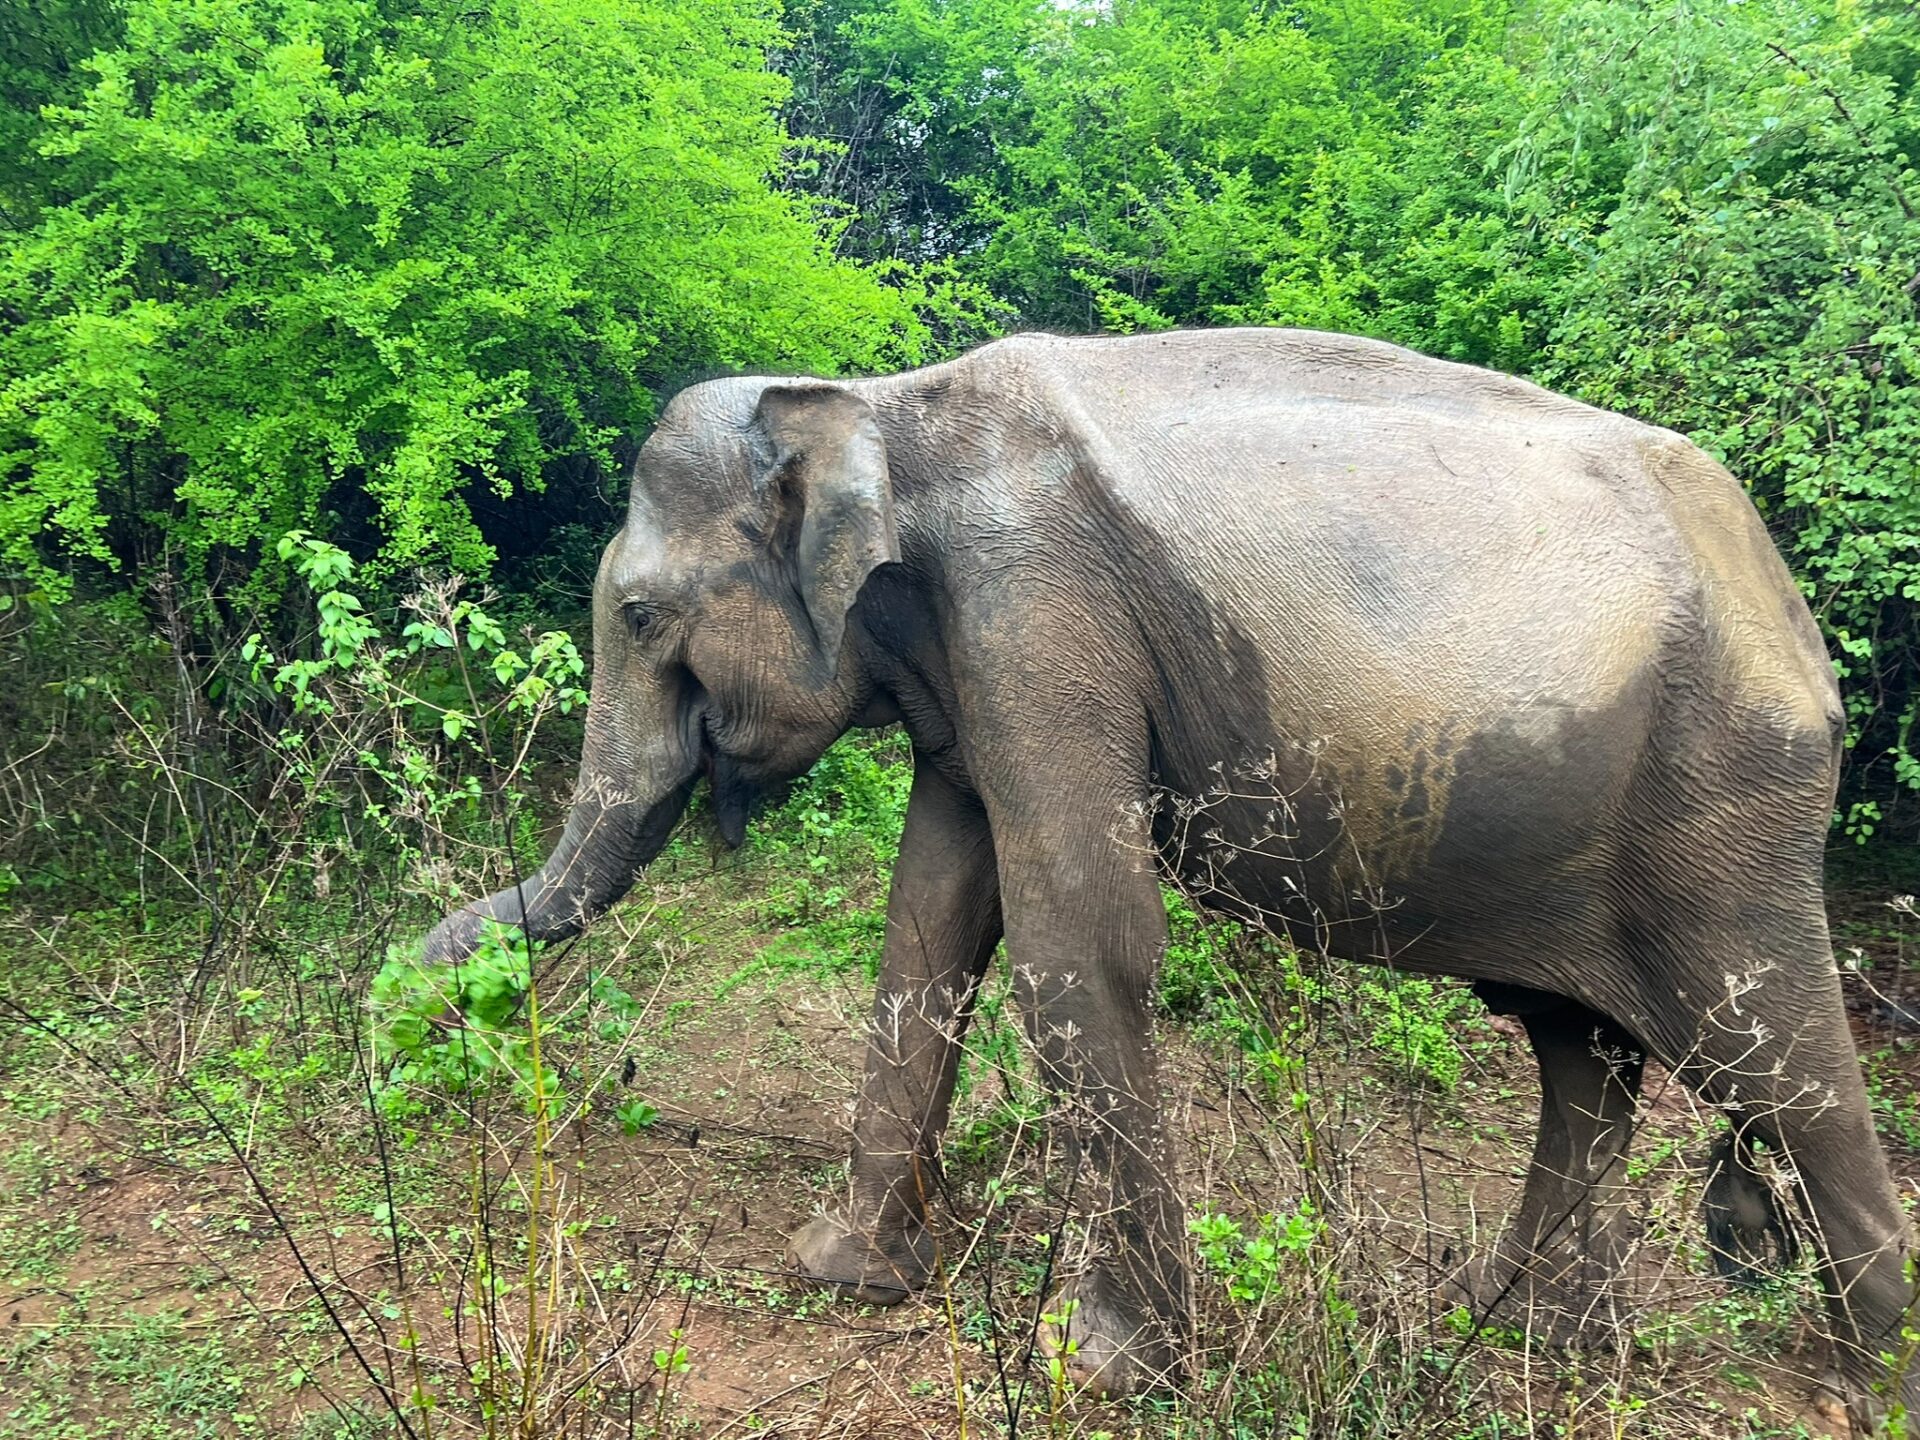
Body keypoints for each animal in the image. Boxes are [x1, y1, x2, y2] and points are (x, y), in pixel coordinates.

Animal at [424, 327, 1918, 1429]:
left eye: (637, 616)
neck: (883, 403)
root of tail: (1790, 607)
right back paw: (1509, 1327)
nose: (413, 981)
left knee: (1772, 1051)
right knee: (1579, 1049)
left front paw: (1103, 1368)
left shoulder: (1035, 612)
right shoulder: (978, 668)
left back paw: (1861, 1388)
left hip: (1723, 799)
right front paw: (845, 1271)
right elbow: (931, 919)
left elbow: (1081, 936)